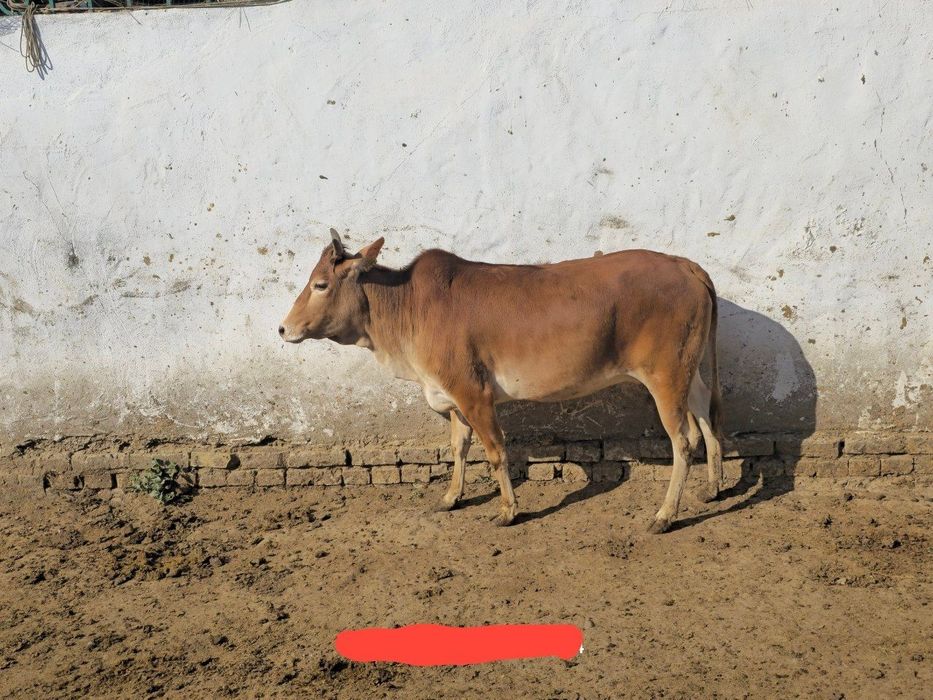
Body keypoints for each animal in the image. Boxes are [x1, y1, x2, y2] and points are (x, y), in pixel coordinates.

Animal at [280, 229, 724, 533]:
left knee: (684, 440)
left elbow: (494, 450)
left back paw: (665, 515)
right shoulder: (452, 397)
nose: (283, 329)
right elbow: (458, 448)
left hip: (666, 374)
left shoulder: (473, 393)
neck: (407, 310)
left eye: (321, 284)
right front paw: (450, 497)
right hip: (689, 370)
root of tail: (684, 264)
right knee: (707, 414)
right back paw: (713, 487)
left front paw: (509, 510)